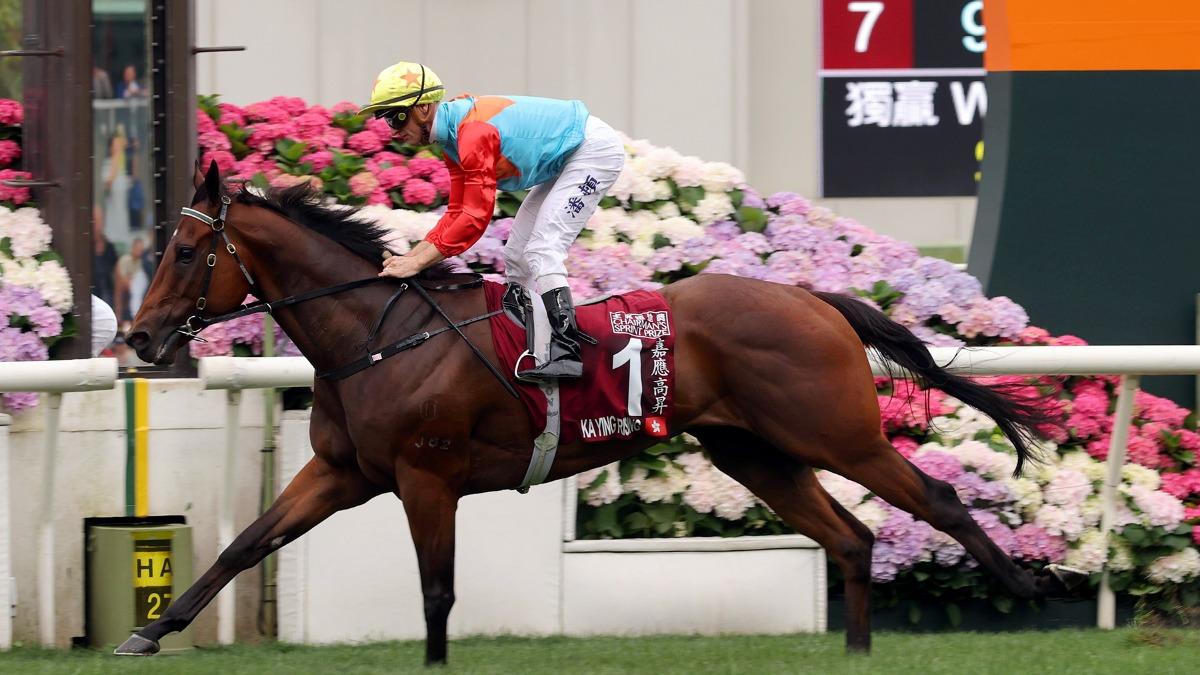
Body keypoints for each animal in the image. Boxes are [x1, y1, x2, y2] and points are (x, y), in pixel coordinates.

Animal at [118, 162, 1077, 664]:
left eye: (189, 250)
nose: (139, 335)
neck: (378, 332)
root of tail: (815, 298)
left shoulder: (427, 474)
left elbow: (436, 588)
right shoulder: (341, 471)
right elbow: (244, 545)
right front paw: (151, 629)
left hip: (834, 431)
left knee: (935, 501)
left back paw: (1028, 590)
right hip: (754, 453)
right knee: (852, 537)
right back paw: (858, 652)